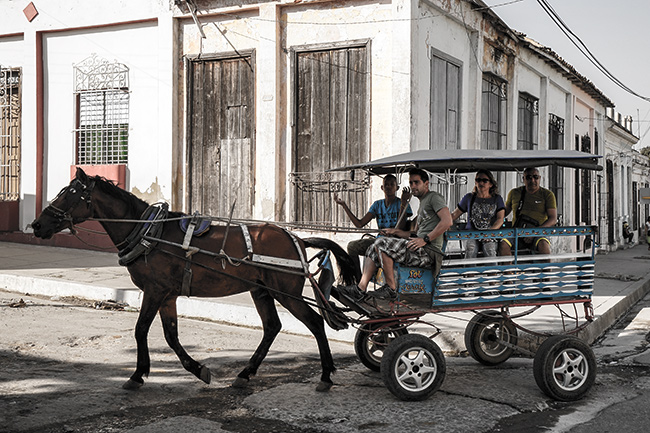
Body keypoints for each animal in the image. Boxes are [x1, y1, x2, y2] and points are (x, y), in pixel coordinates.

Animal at [30, 168, 354, 392]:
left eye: (70, 194)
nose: (36, 225)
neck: (149, 232)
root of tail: (295, 237)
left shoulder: (155, 291)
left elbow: (141, 330)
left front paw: (137, 375)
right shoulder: (168, 295)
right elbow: (171, 336)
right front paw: (196, 369)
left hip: (286, 292)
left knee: (314, 322)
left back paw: (326, 375)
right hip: (261, 291)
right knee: (272, 327)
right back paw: (245, 373)